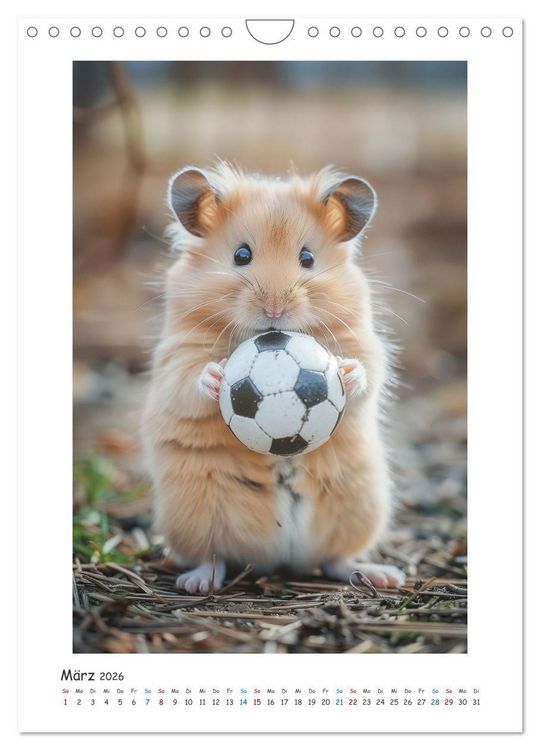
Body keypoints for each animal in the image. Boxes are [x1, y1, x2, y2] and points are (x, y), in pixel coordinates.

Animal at [142, 163, 405, 594]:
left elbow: (370, 367)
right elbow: (187, 378)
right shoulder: (177, 352)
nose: (274, 309)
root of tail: (279, 557)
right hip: (195, 511)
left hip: (360, 503)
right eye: (241, 255)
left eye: (308, 257)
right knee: (214, 555)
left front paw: (346, 372)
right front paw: (216, 376)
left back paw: (384, 576)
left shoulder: (362, 339)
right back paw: (198, 583)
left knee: (334, 558)